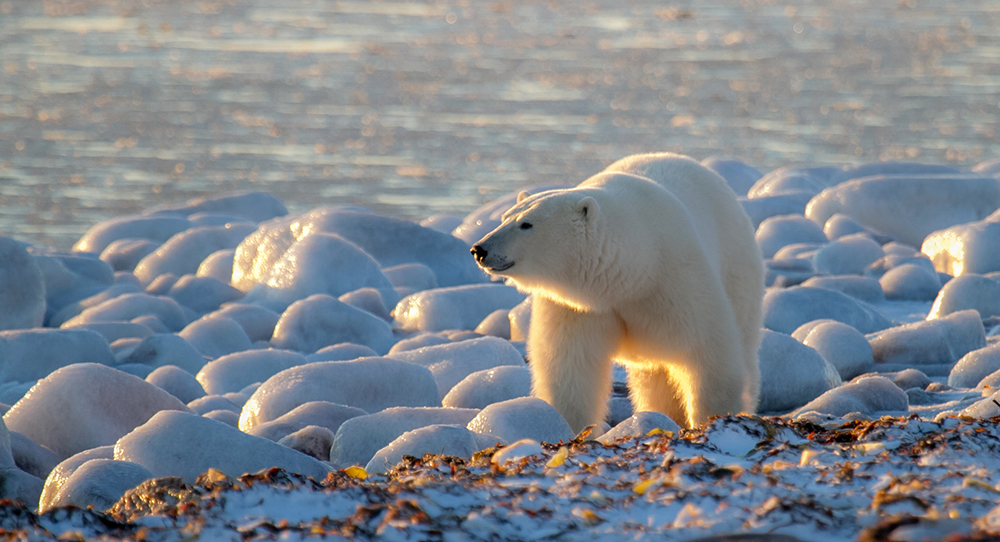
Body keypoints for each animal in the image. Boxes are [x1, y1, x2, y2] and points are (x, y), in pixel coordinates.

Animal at [472, 153, 760, 434]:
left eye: (526, 224)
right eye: (504, 217)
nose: (479, 249)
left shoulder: (677, 282)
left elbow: (706, 352)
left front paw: (712, 420)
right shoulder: (577, 307)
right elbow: (570, 367)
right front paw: (570, 427)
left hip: (736, 265)